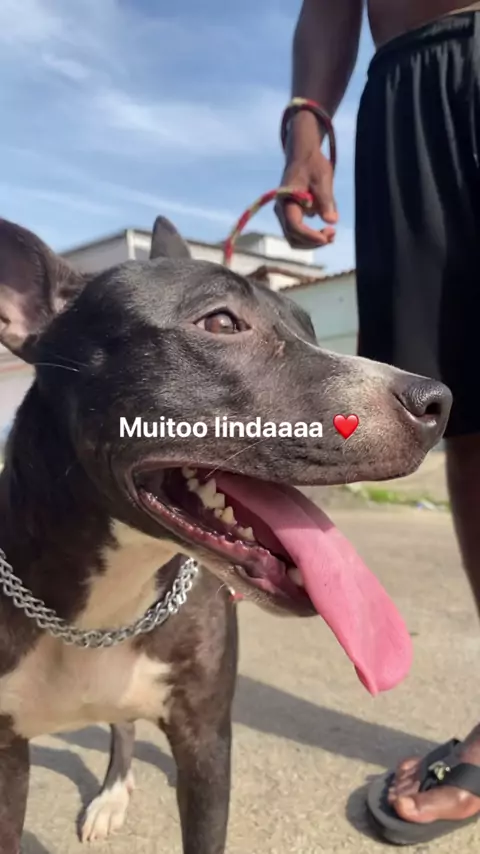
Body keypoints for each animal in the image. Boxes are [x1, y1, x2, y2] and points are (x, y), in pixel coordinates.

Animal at [0, 214, 451, 853]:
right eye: (219, 323)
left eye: (309, 328)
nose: (438, 402)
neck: (104, 608)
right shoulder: (7, 759)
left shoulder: (206, 741)